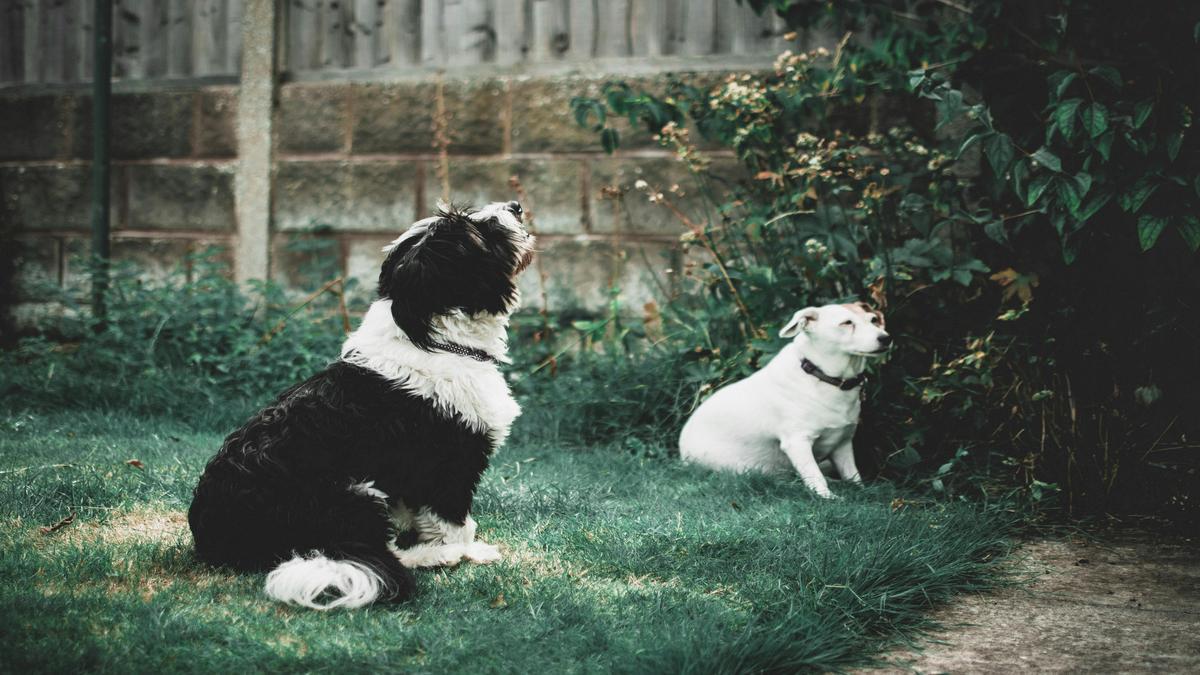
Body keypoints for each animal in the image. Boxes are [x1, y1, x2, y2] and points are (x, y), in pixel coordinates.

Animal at [188, 199, 535, 610]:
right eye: (476, 229)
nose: (515, 206)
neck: (433, 340)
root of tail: (213, 537)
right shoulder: (451, 462)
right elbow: (455, 521)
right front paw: (468, 550)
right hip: (353, 494)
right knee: (379, 551)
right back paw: (436, 556)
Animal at [676, 302, 892, 497]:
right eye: (846, 323)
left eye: (873, 320)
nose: (886, 338)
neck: (822, 377)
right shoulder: (797, 442)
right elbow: (815, 476)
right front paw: (828, 498)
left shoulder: (842, 444)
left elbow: (853, 475)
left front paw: (861, 491)